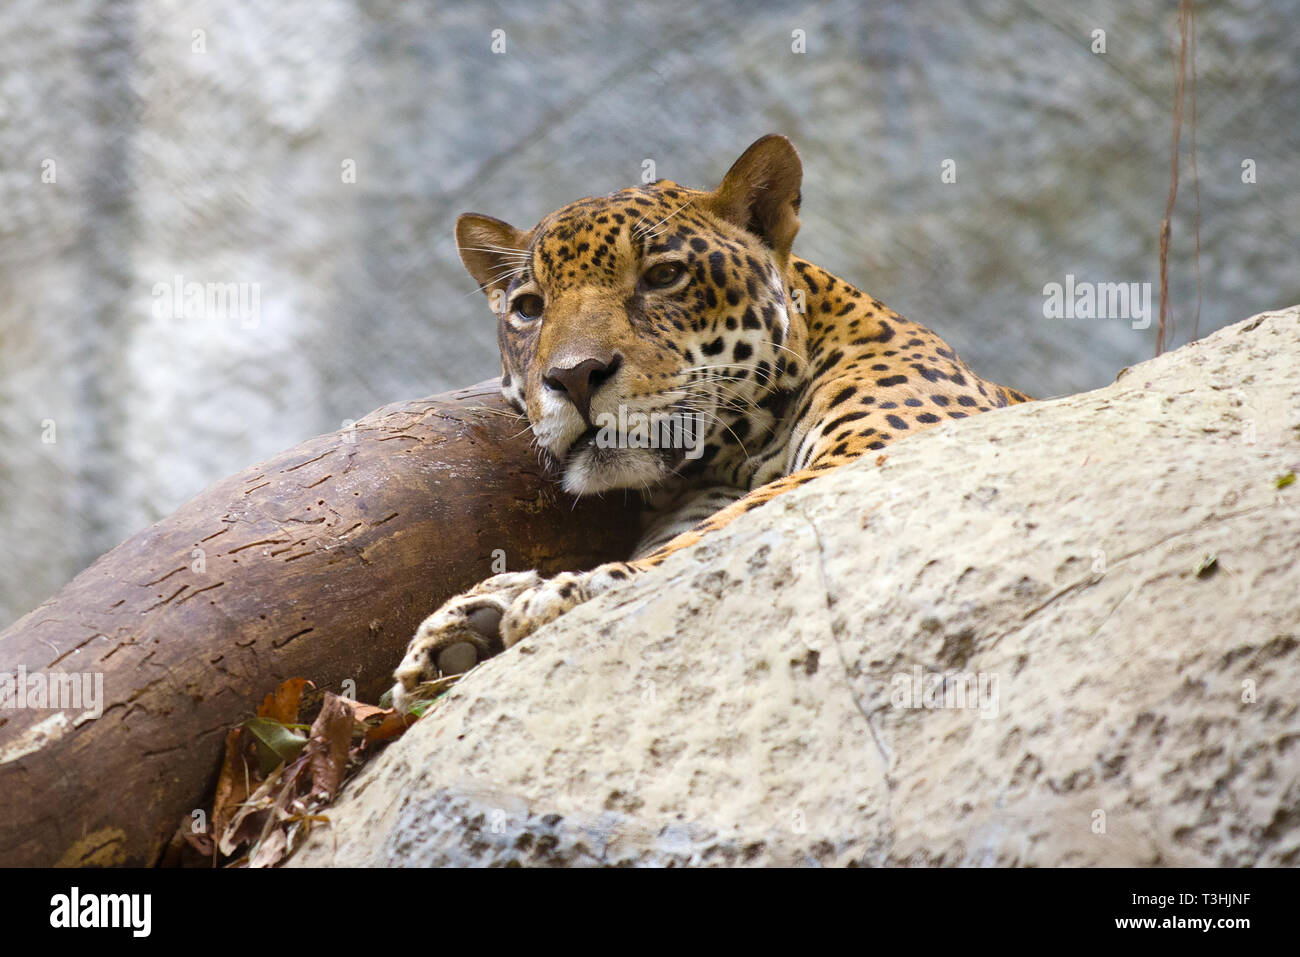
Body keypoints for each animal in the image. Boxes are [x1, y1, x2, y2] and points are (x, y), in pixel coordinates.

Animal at [391, 135, 1030, 708]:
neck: (732, 454)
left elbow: (708, 539)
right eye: (528, 309)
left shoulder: (875, 449)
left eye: (662, 276)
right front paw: (473, 618)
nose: (574, 377)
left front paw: (545, 596)